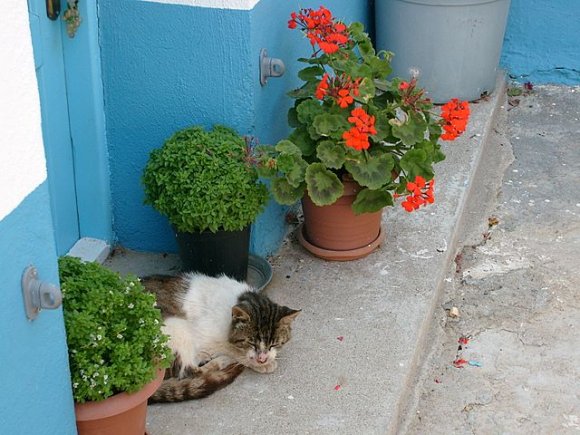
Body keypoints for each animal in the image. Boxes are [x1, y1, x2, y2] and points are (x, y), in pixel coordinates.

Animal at [140, 274, 300, 404]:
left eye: (274, 344)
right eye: (251, 342)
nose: (262, 359)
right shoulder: (202, 334)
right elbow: (232, 350)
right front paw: (261, 364)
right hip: (177, 326)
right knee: (190, 371)